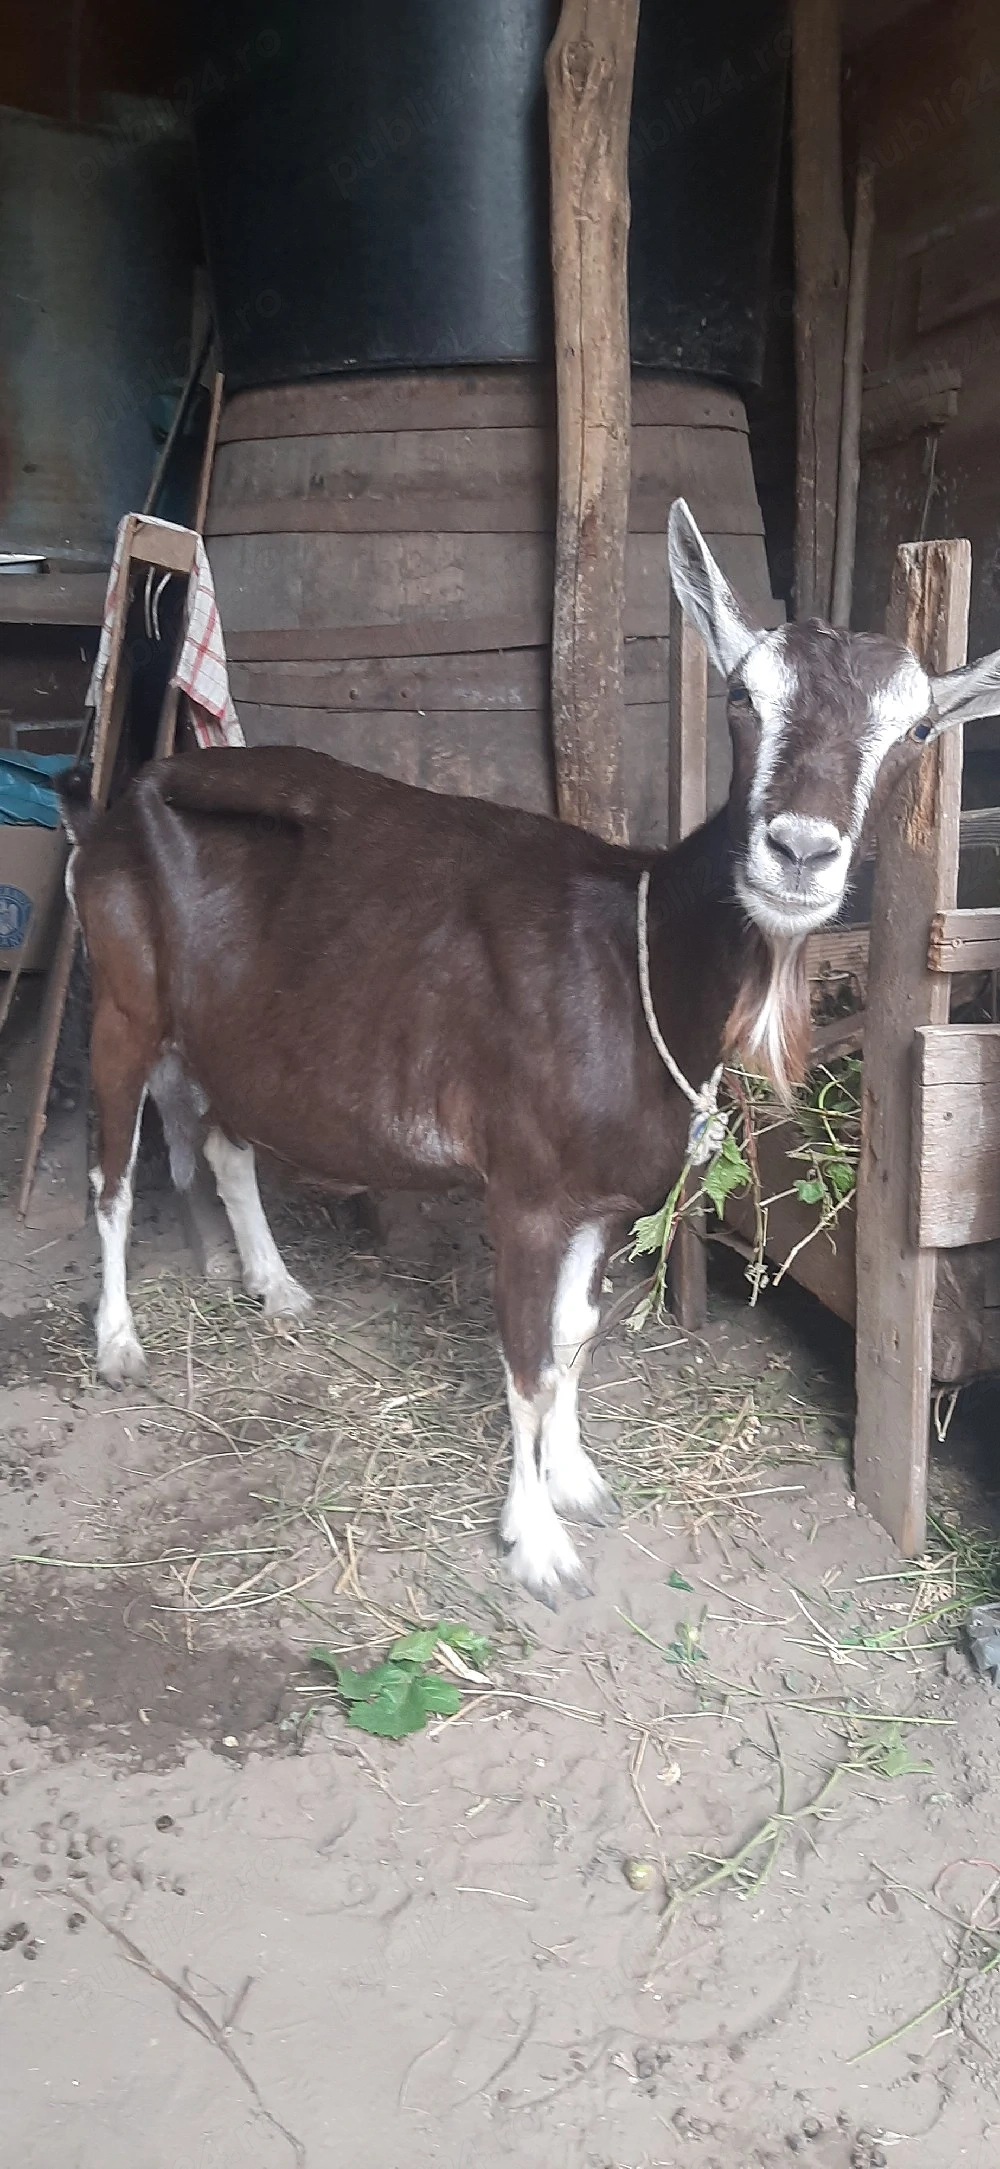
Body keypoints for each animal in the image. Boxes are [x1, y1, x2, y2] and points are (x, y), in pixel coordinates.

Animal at [61, 502, 1000, 1603]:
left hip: (228, 1025)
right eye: (740, 694)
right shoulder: (522, 1188)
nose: (800, 850)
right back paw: (119, 1342)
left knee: (224, 1140)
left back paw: (272, 1282)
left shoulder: (608, 1197)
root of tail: (121, 801)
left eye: (919, 730)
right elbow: (521, 1357)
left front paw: (576, 1479)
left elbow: (571, 1341)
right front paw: (538, 1543)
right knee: (112, 1176)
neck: (636, 963)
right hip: (123, 1000)